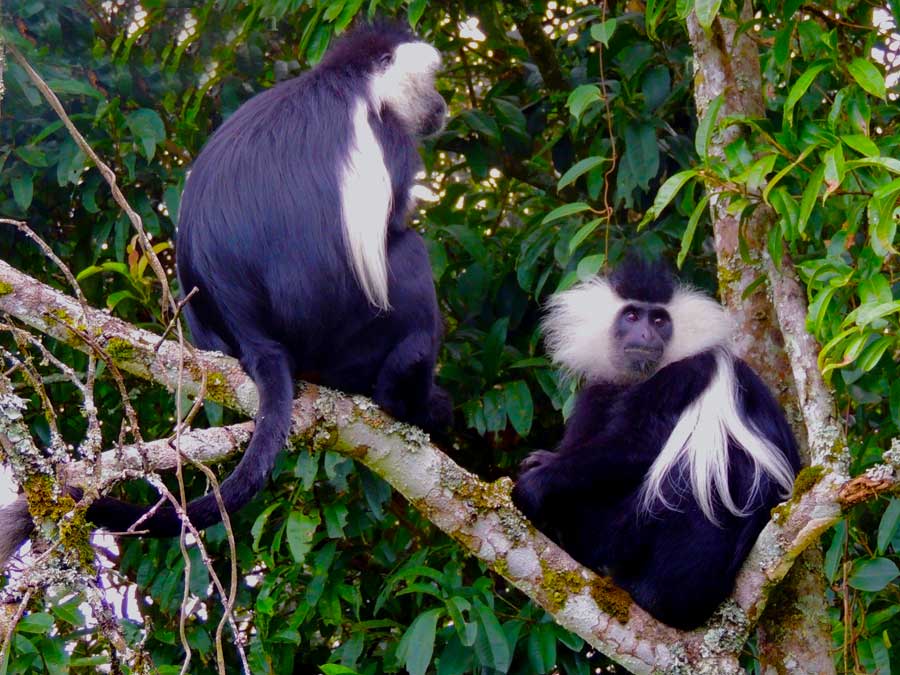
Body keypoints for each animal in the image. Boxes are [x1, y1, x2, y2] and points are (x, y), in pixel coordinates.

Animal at [512, 258, 800, 628]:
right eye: (633, 316)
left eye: (660, 320)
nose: (646, 334)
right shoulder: (599, 390)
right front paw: (542, 463)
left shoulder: (685, 374)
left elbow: (637, 445)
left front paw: (535, 482)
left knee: (698, 478)